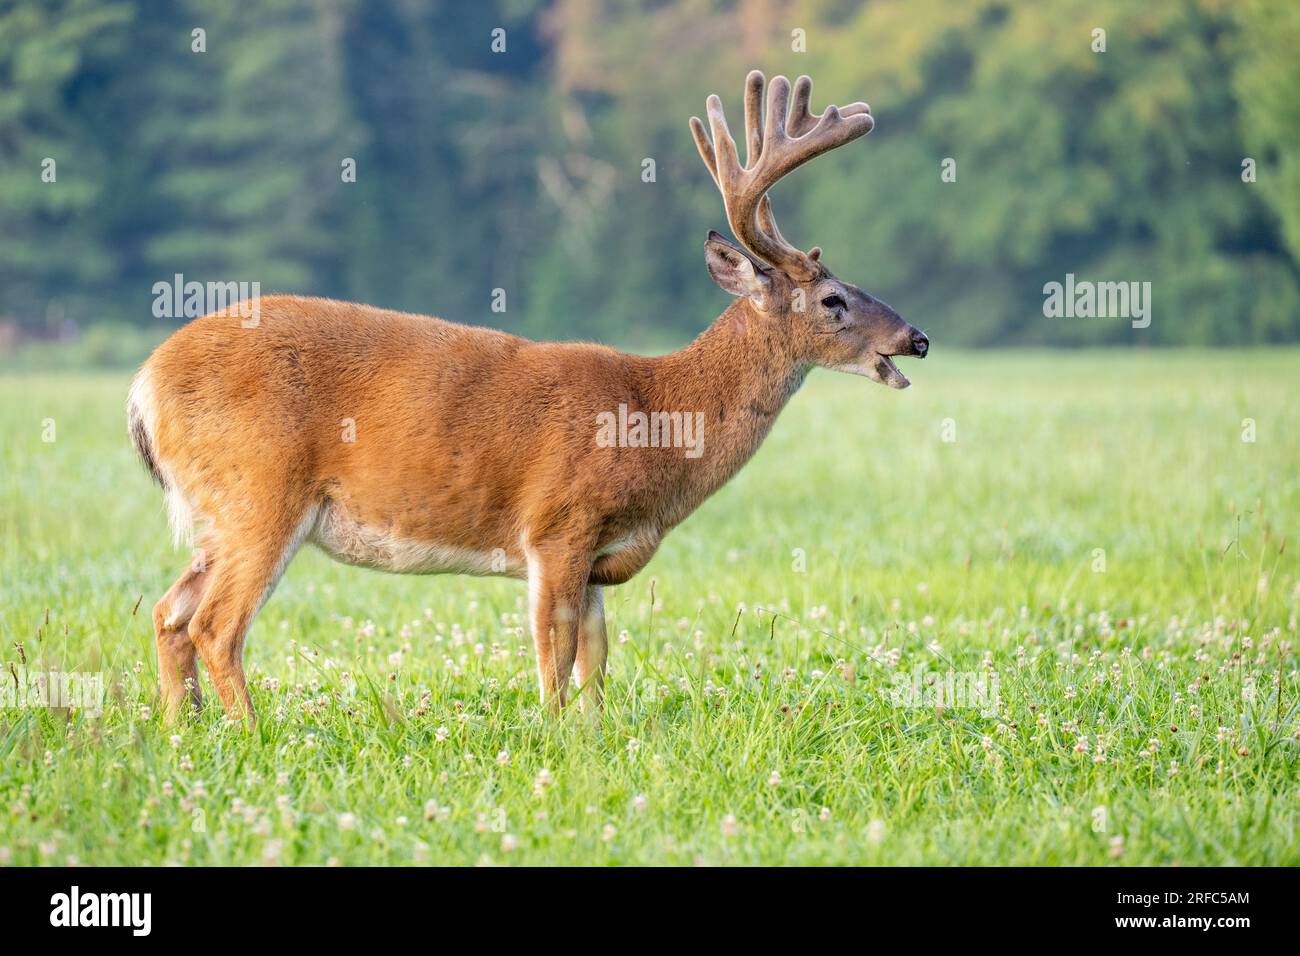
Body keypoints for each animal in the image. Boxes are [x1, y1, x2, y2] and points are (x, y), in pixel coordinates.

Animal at [129, 69, 925, 723]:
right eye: (832, 300)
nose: (915, 338)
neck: (657, 418)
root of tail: (142, 386)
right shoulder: (556, 524)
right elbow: (555, 654)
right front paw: (552, 735)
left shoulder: (599, 554)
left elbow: (596, 659)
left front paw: (595, 735)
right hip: (260, 493)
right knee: (214, 625)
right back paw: (251, 732)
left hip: (217, 514)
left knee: (168, 613)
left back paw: (181, 729)